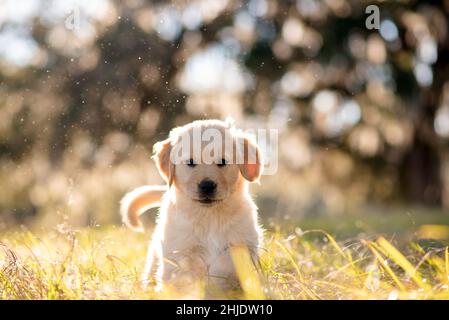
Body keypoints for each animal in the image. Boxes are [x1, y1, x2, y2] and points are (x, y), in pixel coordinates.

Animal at [121, 119, 264, 292]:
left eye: (223, 161)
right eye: (190, 162)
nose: (207, 186)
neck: (209, 216)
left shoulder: (243, 243)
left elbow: (225, 264)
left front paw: (214, 286)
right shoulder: (180, 249)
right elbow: (188, 272)